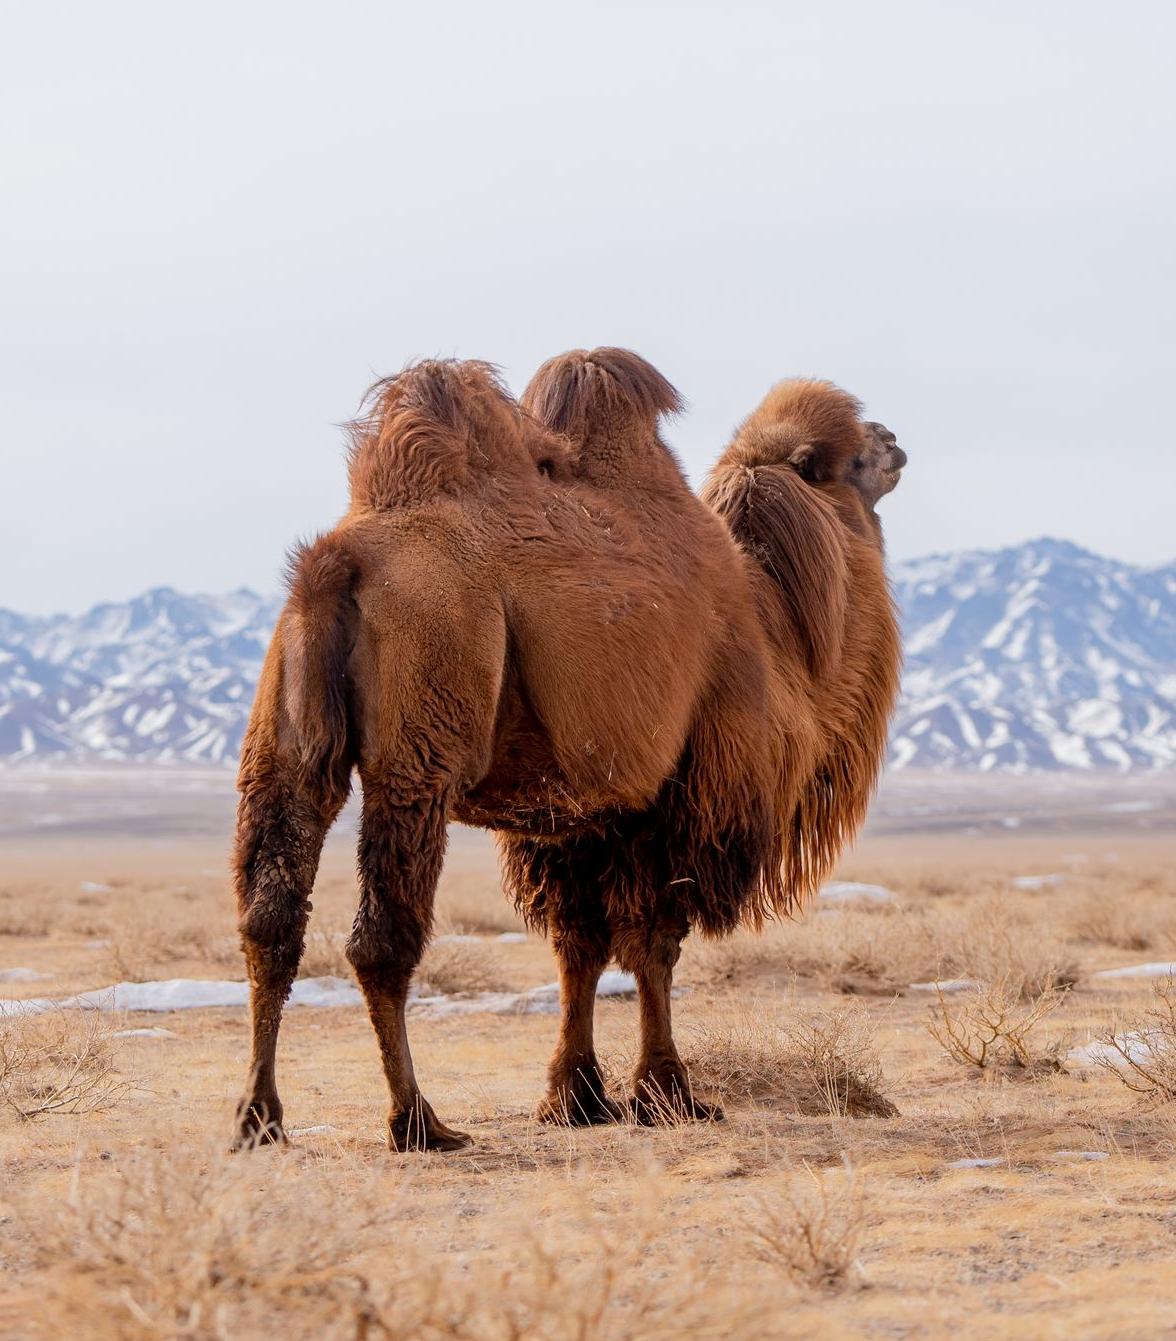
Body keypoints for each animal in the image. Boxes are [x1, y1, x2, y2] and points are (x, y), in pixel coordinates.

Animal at [231, 348, 906, 1153]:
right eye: (848, 459)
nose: (895, 441)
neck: (778, 636)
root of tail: (341, 560)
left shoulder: (576, 815)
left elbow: (577, 944)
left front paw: (576, 1096)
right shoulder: (676, 790)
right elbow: (653, 943)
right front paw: (668, 1093)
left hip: (284, 735)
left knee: (271, 917)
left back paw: (259, 1116)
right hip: (424, 726)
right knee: (381, 938)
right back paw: (420, 1122)